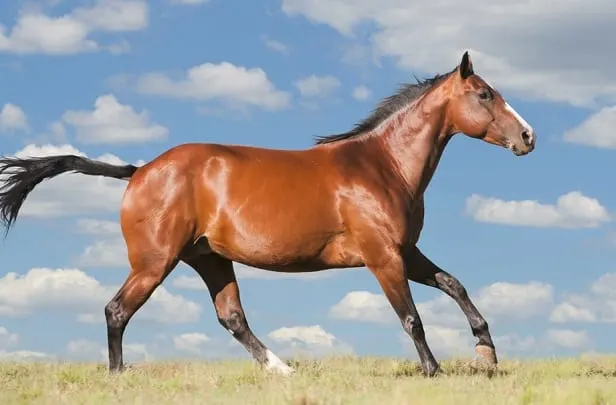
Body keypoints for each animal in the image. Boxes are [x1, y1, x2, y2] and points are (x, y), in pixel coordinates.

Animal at [0, 51, 536, 376]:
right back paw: (117, 375)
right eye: (484, 94)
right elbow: (411, 318)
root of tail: (139, 171)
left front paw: (486, 354)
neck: (381, 166)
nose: (528, 137)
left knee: (232, 317)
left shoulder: (405, 251)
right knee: (117, 310)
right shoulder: (382, 256)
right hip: (155, 263)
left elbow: (454, 285)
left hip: (209, 259)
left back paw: (281, 369)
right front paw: (434, 369)